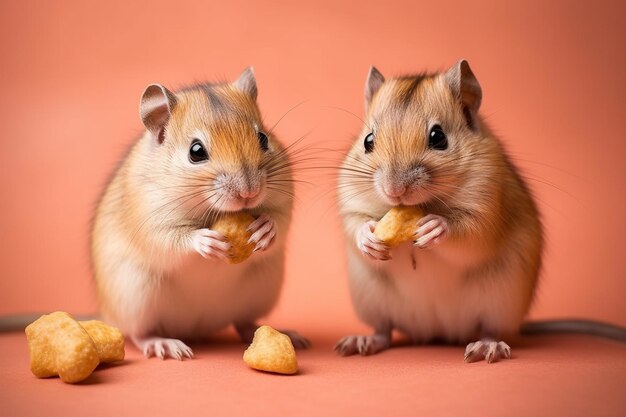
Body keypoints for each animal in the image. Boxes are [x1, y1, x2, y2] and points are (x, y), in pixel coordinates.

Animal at [91, 67, 308, 358]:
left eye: (263, 138)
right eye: (196, 152)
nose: (249, 193)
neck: (210, 210)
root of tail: (197, 328)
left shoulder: (284, 200)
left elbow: (279, 220)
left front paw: (264, 229)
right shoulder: (153, 222)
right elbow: (174, 239)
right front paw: (207, 241)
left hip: (260, 290)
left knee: (243, 323)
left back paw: (290, 336)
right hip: (136, 297)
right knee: (139, 333)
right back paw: (166, 345)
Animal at [334, 60, 544, 362]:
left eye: (438, 137)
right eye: (368, 141)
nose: (393, 190)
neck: (420, 206)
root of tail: (437, 331)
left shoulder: (486, 212)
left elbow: (466, 233)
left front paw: (434, 227)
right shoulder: (351, 202)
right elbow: (356, 224)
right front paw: (369, 239)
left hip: (501, 303)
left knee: (490, 330)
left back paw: (487, 348)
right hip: (372, 300)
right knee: (383, 330)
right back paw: (359, 342)